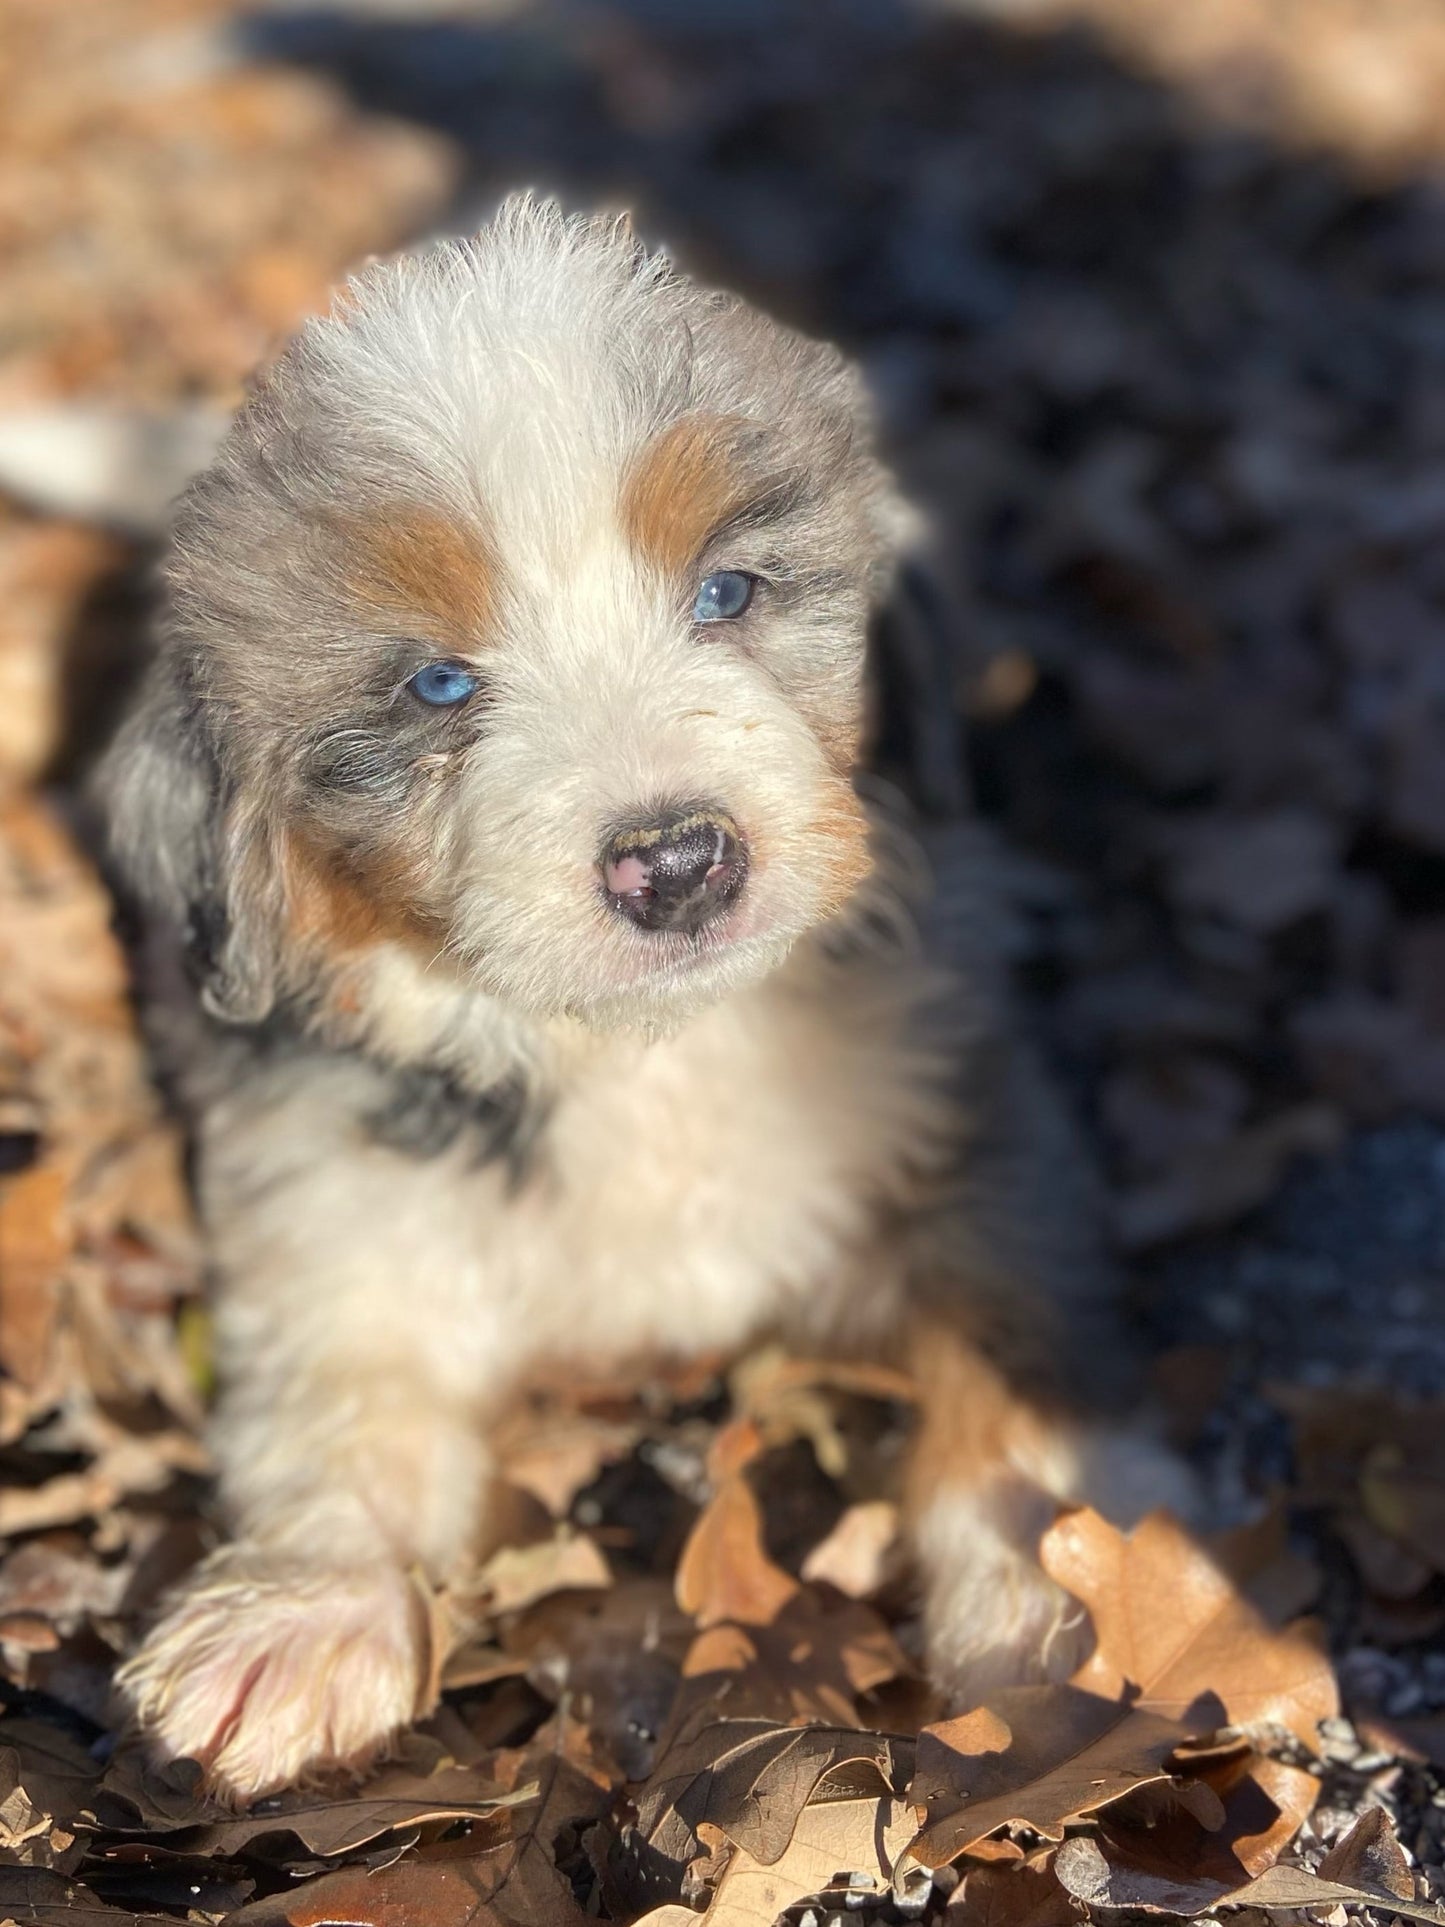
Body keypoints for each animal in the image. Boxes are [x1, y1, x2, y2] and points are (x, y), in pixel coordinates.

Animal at [102, 199, 1186, 1803]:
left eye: (725, 592)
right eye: (436, 686)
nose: (677, 862)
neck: (638, 1056)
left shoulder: (969, 1114)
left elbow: (1005, 1340)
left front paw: (1055, 1574)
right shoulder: (335, 1212)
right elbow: (338, 1402)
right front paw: (299, 1611)